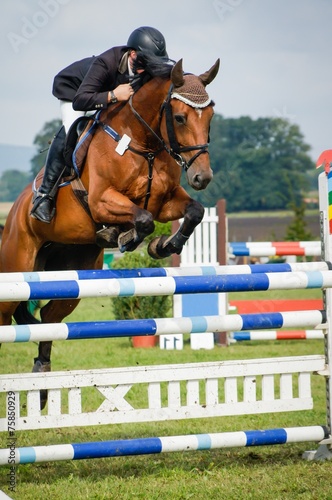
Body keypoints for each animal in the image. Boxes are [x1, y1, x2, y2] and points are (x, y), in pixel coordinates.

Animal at [0, 57, 220, 406]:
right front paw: (124, 237)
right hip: (15, 270)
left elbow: (192, 212)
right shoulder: (103, 200)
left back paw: (42, 383)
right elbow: (142, 219)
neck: (143, 144)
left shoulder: (166, 201)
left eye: (211, 116)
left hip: (71, 277)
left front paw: (161, 245)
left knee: (49, 319)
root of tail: (15, 213)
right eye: (180, 117)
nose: (202, 177)